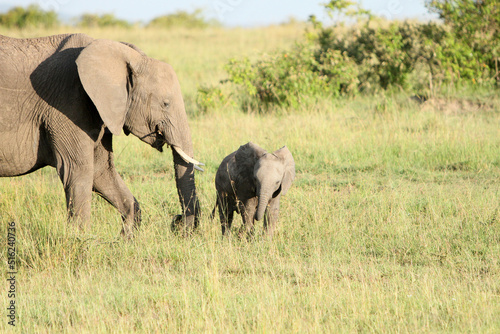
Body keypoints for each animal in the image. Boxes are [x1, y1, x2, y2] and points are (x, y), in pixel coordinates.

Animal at [0, 34, 203, 236]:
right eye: (165, 104)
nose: (177, 222)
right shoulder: (65, 105)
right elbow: (78, 170)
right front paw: (80, 239)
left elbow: (101, 171)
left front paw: (126, 238)